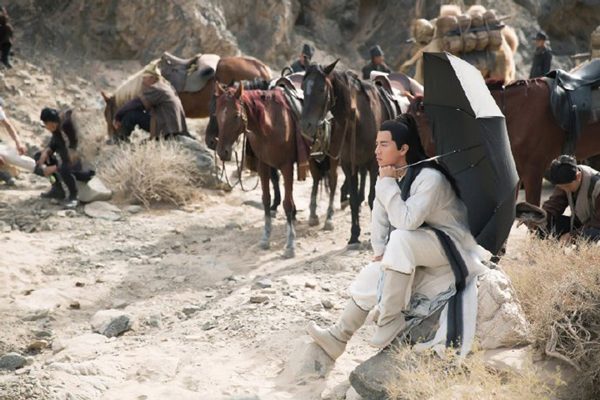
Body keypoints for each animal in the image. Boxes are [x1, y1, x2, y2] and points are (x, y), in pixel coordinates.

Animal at [300, 60, 401, 245]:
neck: (358, 119)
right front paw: (354, 235)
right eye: (303, 87)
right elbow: (353, 199)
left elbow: (373, 198)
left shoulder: (375, 165)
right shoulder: (348, 164)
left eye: (321, 89)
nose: (305, 126)